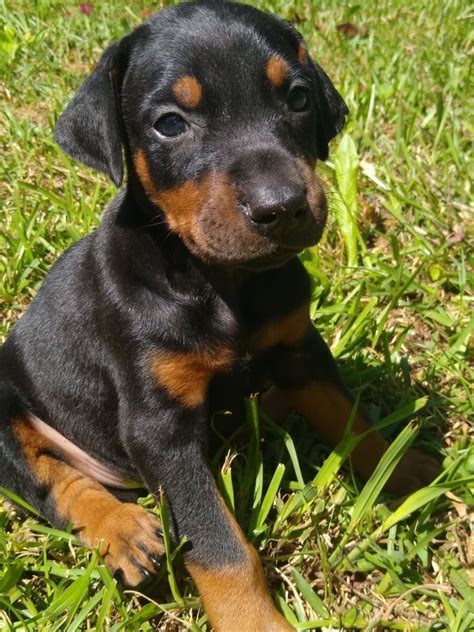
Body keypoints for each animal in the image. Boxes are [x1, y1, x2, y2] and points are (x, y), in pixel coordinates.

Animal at [0, 2, 438, 628]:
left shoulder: (300, 348)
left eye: (298, 98)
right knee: (51, 478)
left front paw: (403, 469)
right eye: (169, 124)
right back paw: (123, 529)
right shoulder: (160, 427)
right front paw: (254, 621)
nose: (282, 207)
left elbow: (348, 417)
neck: (218, 282)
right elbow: (219, 543)